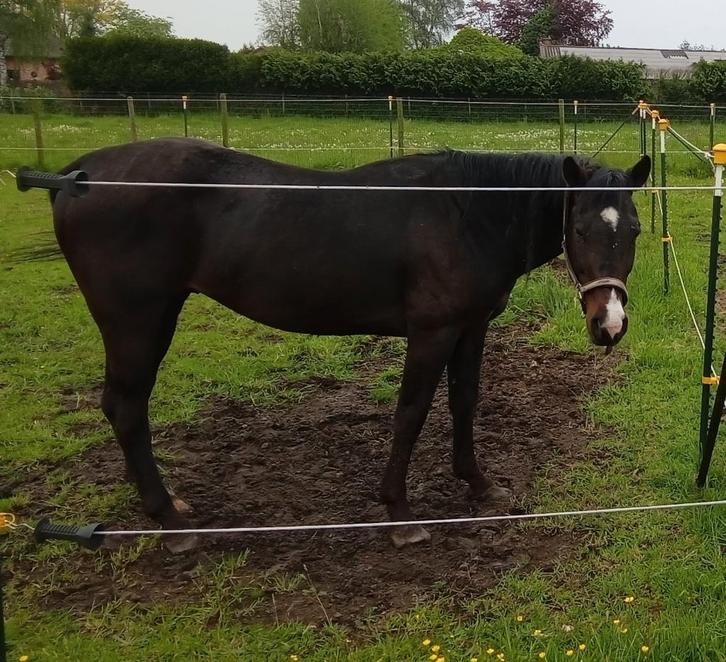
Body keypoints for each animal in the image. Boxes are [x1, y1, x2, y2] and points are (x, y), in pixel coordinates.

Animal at [45, 138, 650, 552]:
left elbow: (464, 403)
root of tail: (79, 175)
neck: (468, 213)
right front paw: (399, 515)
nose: (609, 324)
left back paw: (161, 502)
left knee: (126, 408)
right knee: (127, 407)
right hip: (137, 319)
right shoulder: (431, 333)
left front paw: (477, 485)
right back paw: (170, 522)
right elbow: (411, 413)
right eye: (580, 229)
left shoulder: (470, 328)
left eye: (635, 231)